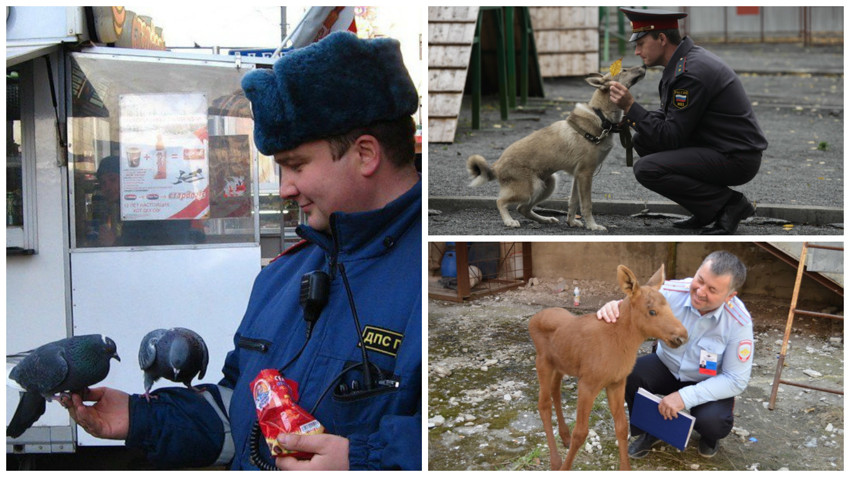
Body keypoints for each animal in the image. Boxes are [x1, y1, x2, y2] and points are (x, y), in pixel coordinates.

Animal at [464, 64, 644, 231]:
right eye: (624, 70)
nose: (644, 66)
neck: (601, 116)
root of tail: (496, 165)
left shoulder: (578, 176)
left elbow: (573, 202)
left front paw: (571, 222)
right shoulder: (585, 174)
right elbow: (586, 204)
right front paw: (593, 226)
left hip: (548, 184)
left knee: (523, 208)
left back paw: (545, 219)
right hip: (530, 188)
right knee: (501, 201)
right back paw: (509, 221)